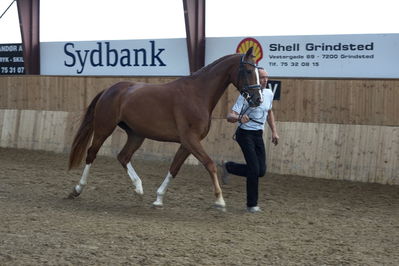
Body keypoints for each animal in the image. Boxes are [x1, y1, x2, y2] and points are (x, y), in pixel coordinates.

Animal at [68, 47, 262, 210]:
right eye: (249, 71)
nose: (258, 99)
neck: (198, 94)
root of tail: (109, 89)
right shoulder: (190, 140)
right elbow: (210, 164)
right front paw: (220, 201)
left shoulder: (187, 143)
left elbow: (174, 168)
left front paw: (158, 199)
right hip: (104, 128)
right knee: (91, 153)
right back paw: (77, 189)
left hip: (136, 134)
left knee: (123, 156)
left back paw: (138, 189)